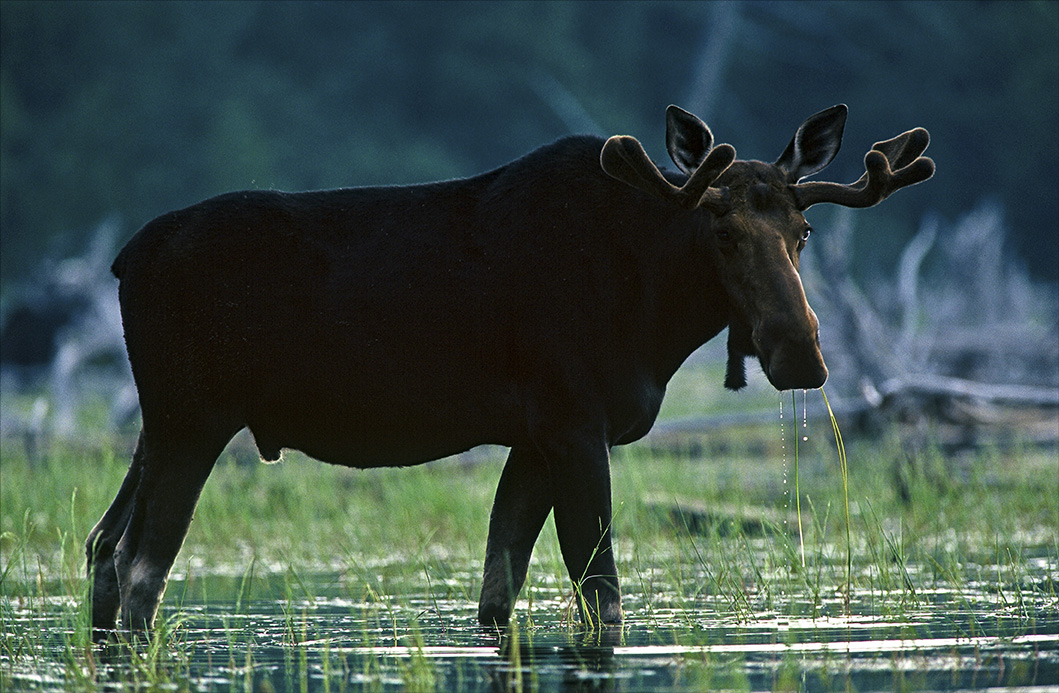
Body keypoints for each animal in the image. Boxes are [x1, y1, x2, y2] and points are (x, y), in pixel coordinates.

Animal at [86, 100, 931, 640]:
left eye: (803, 230)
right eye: (720, 229)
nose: (800, 354)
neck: (653, 316)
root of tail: (122, 260)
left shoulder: (533, 437)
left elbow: (498, 588)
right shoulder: (574, 425)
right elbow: (600, 592)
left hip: (158, 424)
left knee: (101, 544)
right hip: (194, 417)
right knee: (140, 568)